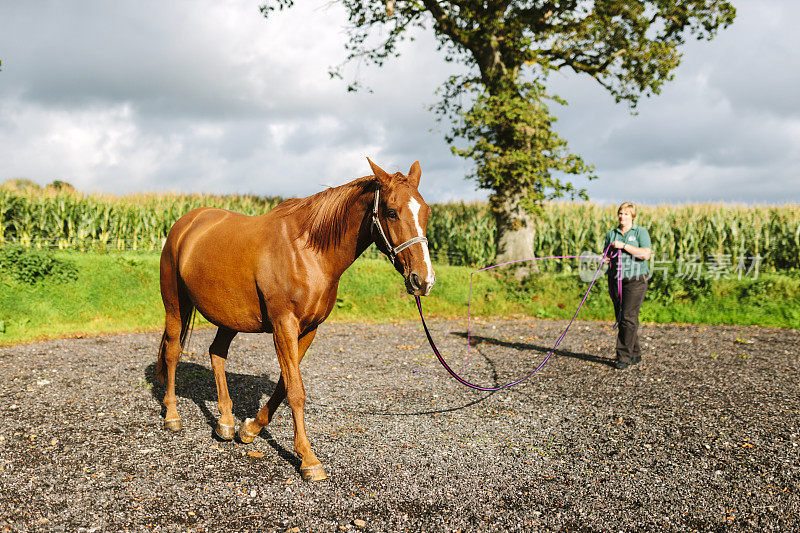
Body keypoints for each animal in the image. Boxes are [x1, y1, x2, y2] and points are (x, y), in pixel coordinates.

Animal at [154, 157, 434, 478]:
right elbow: (296, 391)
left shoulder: (308, 329)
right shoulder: (283, 325)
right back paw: (172, 415)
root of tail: (186, 223)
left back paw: (225, 422)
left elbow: (284, 383)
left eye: (426, 211)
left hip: (229, 318)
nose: (423, 280)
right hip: (175, 304)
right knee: (173, 352)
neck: (307, 251)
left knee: (216, 353)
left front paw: (250, 429)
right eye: (391, 212)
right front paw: (309, 460)